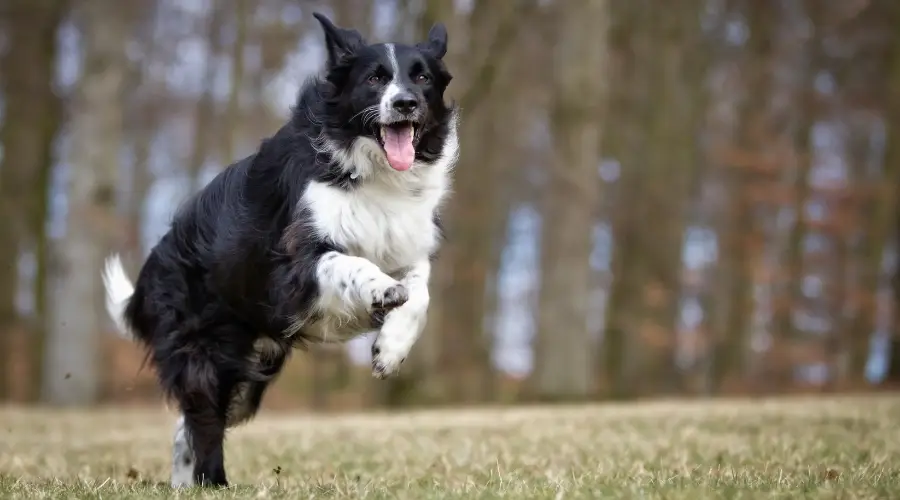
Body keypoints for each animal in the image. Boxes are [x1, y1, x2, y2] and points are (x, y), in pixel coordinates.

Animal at [102, 12, 460, 488]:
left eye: (422, 77)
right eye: (374, 78)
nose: (404, 103)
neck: (373, 172)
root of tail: (151, 269)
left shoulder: (408, 243)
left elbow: (420, 291)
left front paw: (391, 348)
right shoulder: (295, 264)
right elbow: (349, 262)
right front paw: (381, 291)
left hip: (252, 368)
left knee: (188, 426)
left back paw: (184, 484)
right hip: (205, 351)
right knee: (203, 420)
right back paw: (213, 483)